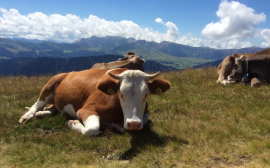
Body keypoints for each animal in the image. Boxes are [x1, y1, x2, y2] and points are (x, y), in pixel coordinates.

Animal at [19, 67, 171, 136]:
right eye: (121, 94)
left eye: (146, 94)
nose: (133, 124)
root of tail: (68, 73)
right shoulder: (87, 109)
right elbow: (92, 129)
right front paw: (73, 123)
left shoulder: (144, 115)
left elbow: (143, 122)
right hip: (49, 85)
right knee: (36, 105)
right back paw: (27, 116)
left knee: (54, 107)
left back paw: (42, 113)